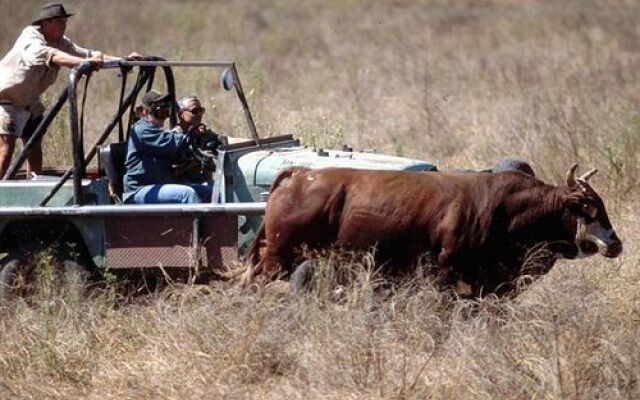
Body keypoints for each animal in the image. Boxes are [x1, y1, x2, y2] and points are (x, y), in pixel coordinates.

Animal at [244, 164, 620, 296]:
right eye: (588, 208)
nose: (617, 243)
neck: (505, 209)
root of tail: (300, 172)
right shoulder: (447, 271)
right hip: (276, 258)